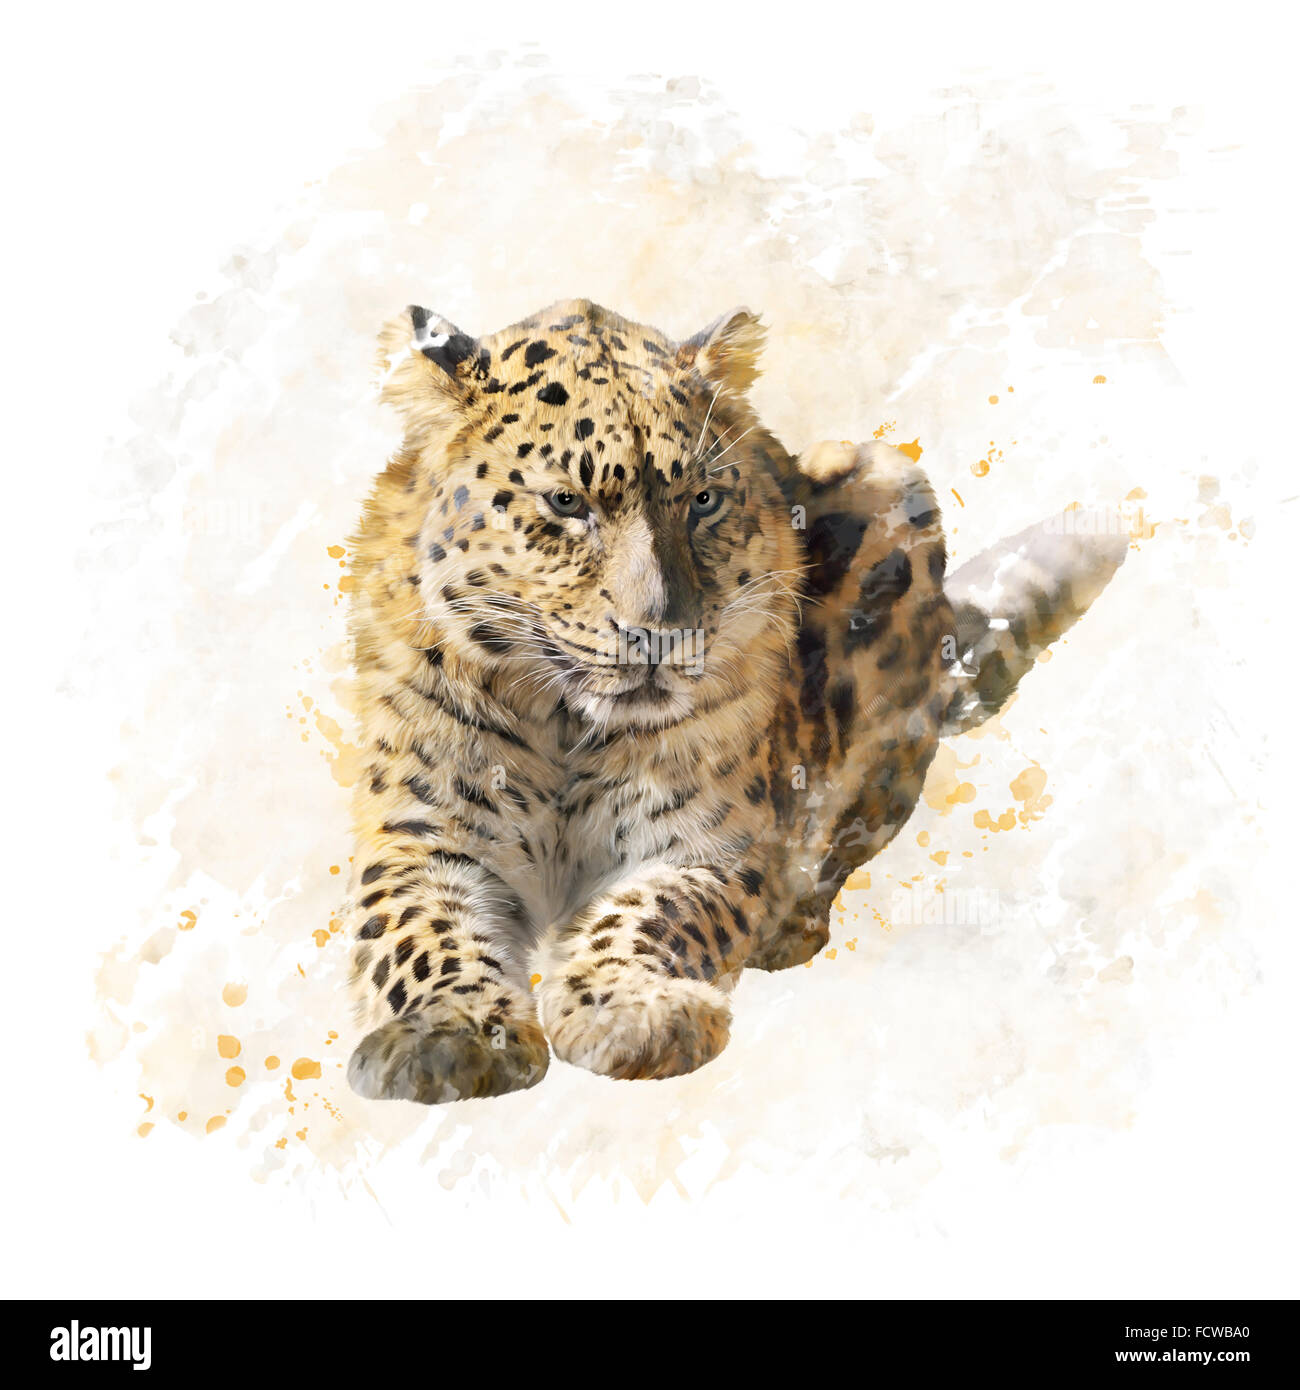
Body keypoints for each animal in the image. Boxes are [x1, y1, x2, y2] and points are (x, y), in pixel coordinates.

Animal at [343, 297, 1127, 1103]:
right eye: (566, 503)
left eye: (703, 501)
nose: (661, 632)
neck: (567, 727)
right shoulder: (424, 836)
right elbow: (420, 934)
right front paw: (452, 1035)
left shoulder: (707, 846)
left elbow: (646, 914)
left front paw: (631, 1011)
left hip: (889, 487)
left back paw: (790, 921)